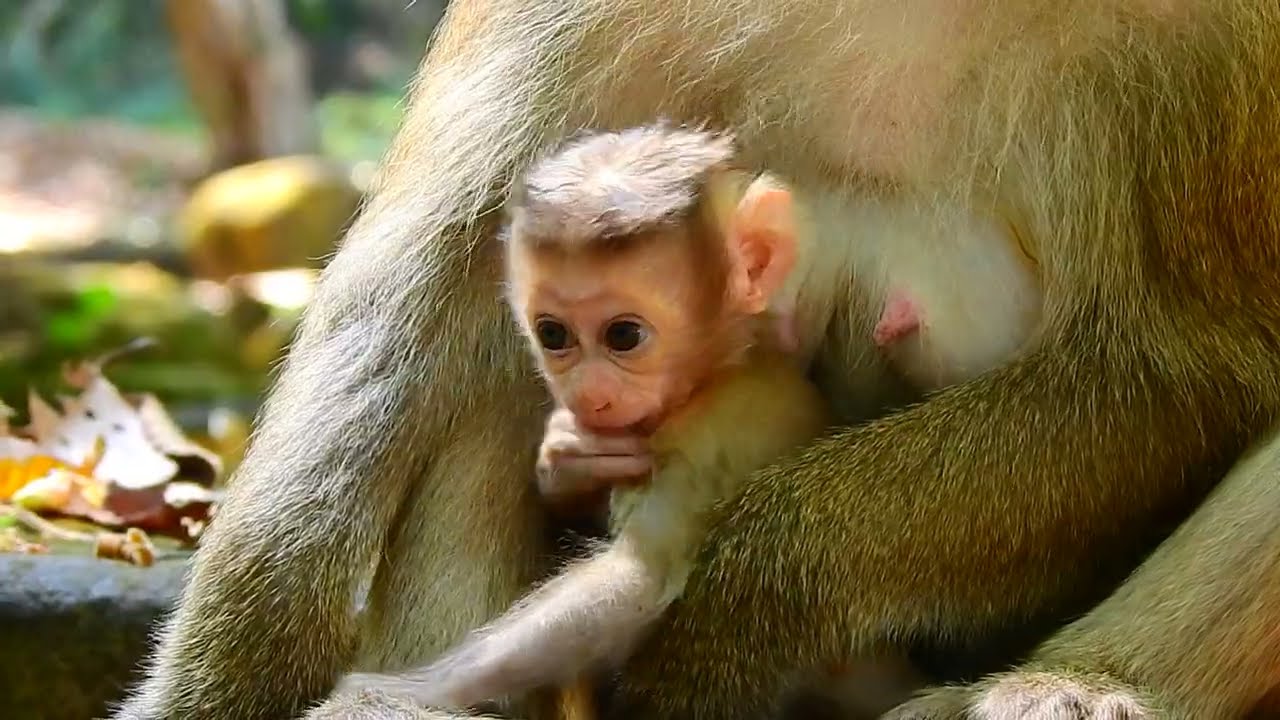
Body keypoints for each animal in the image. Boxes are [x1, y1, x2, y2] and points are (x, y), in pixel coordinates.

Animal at [334, 123, 838, 714]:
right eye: (554, 334)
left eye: (624, 335)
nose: (590, 392)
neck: (718, 374)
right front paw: (568, 461)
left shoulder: (728, 426)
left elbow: (640, 577)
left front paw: (417, 689)